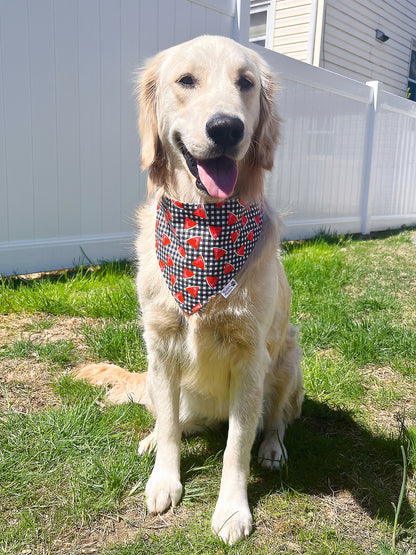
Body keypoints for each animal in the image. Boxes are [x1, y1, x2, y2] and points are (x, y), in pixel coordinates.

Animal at [78, 35, 302, 548]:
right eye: (186, 80)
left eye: (246, 83)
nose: (226, 128)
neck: (204, 225)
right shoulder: (160, 347)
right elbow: (169, 430)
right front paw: (164, 480)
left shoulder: (251, 357)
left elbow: (237, 446)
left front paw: (232, 510)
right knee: (175, 419)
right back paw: (152, 437)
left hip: (289, 357)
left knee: (277, 419)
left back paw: (273, 449)